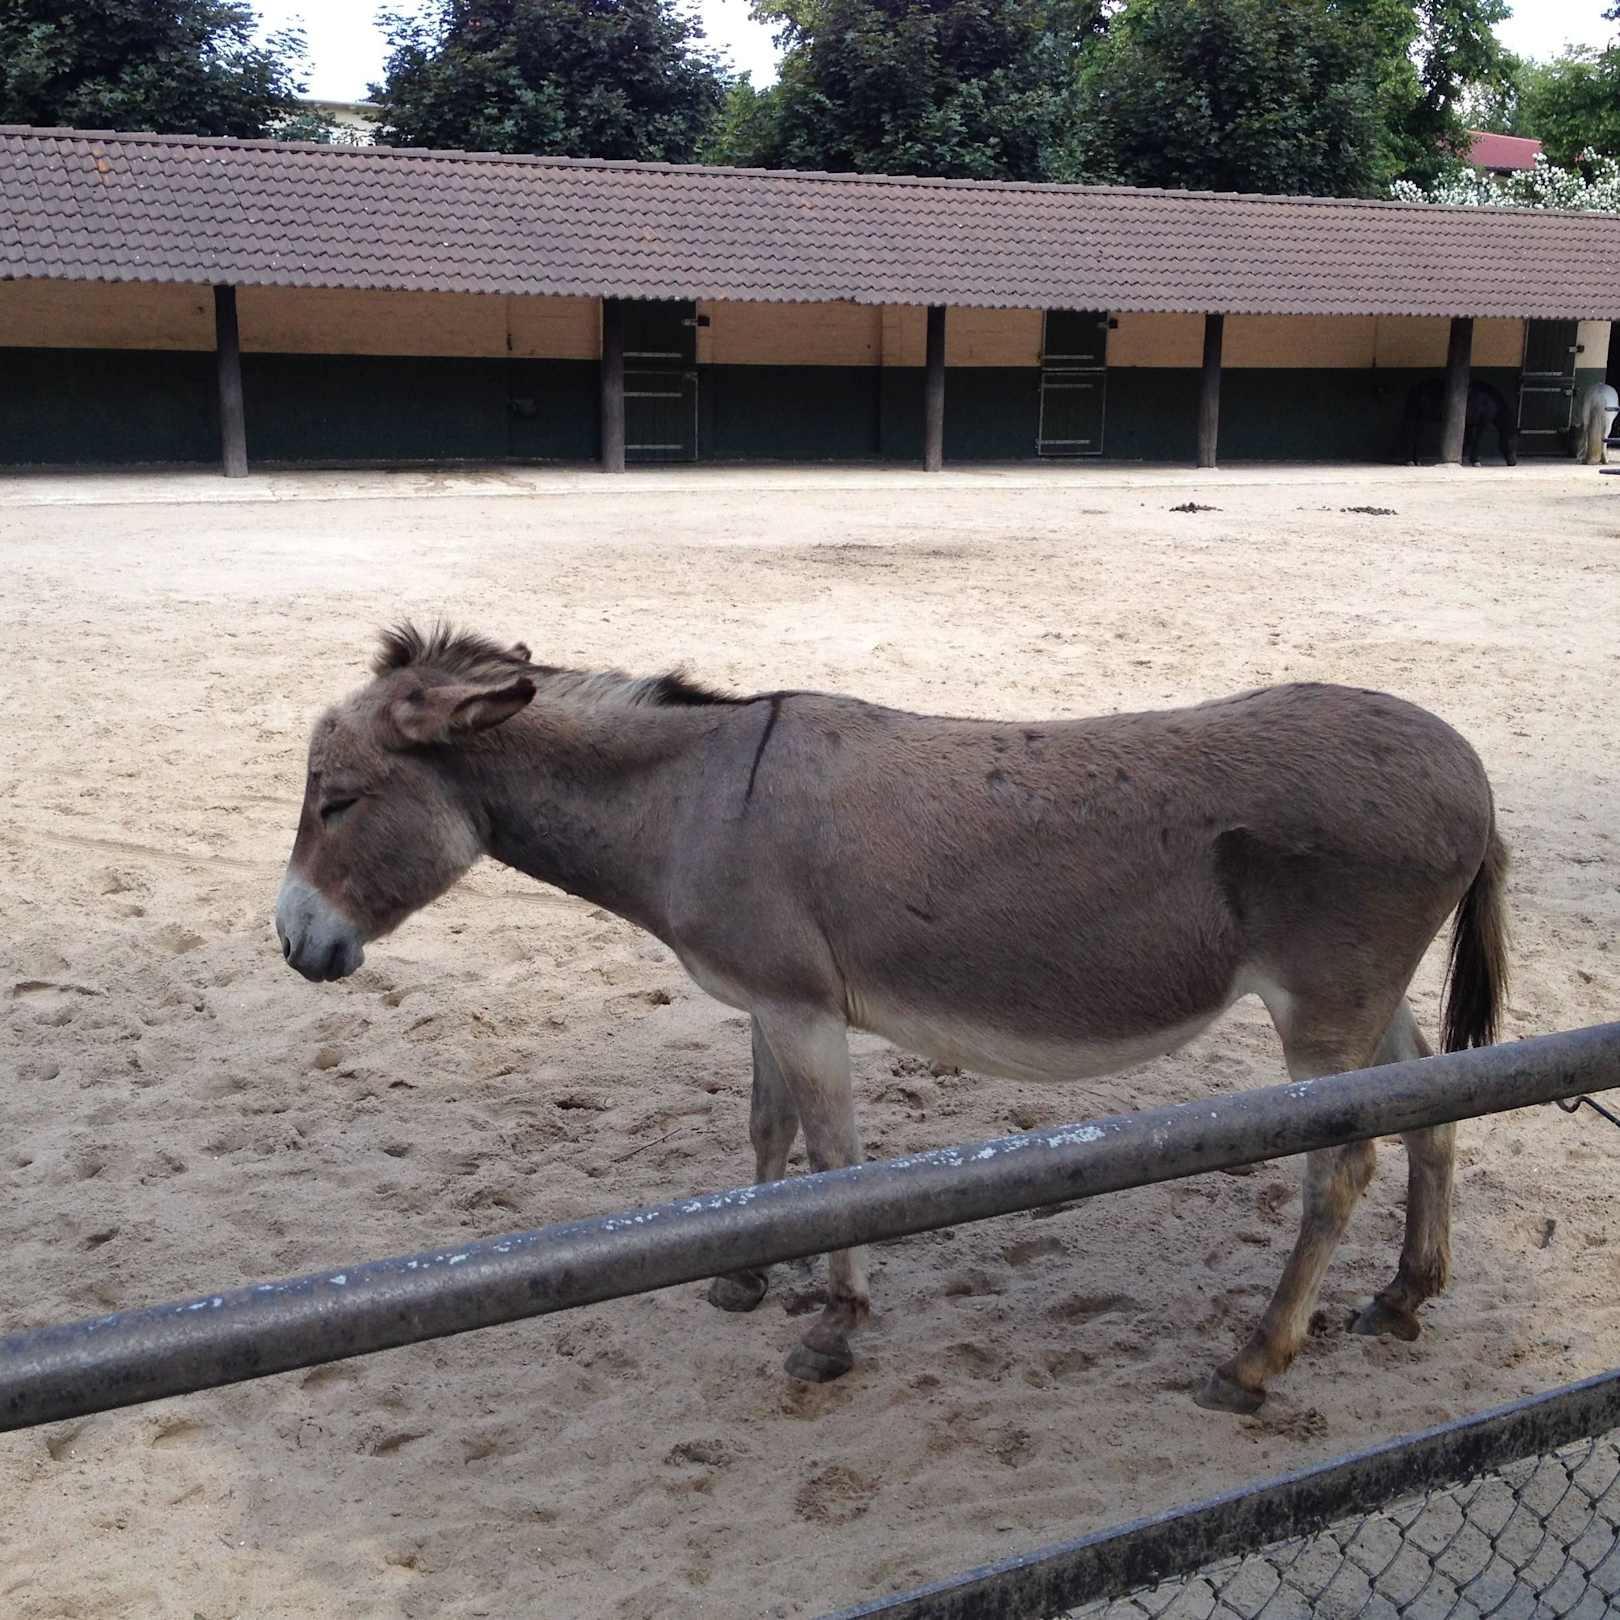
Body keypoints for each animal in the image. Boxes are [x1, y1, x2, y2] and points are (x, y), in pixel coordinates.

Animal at [275, 624, 1508, 1414]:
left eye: (337, 800)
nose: (293, 945)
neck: (694, 803)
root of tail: (1473, 767)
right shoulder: (764, 1003)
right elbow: (767, 1133)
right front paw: (746, 1279)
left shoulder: (803, 1009)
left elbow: (834, 1161)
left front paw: (834, 1329)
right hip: (1367, 998)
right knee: (1436, 1107)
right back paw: (1405, 1296)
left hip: (1325, 1005)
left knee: (1338, 1167)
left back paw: (1253, 1364)